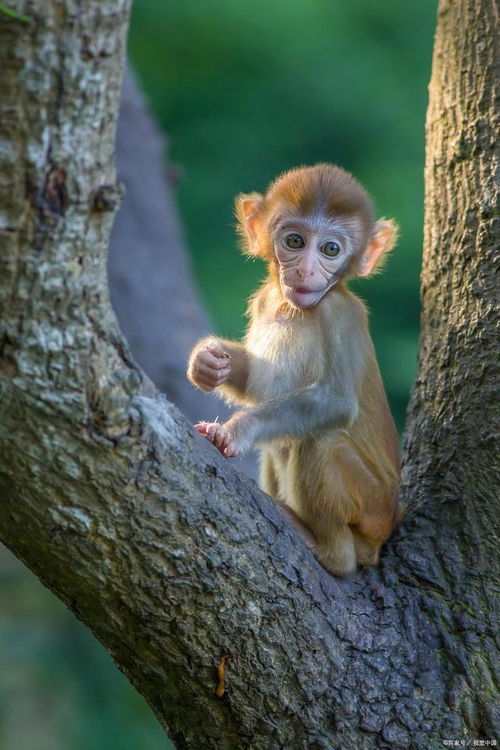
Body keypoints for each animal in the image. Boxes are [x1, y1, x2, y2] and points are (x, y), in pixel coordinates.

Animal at [188, 164, 402, 576]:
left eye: (331, 249)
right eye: (294, 241)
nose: (304, 269)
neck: (294, 308)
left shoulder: (340, 314)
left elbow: (335, 403)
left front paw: (237, 429)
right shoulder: (263, 300)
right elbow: (252, 379)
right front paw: (207, 361)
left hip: (372, 509)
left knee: (321, 440)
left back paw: (330, 551)